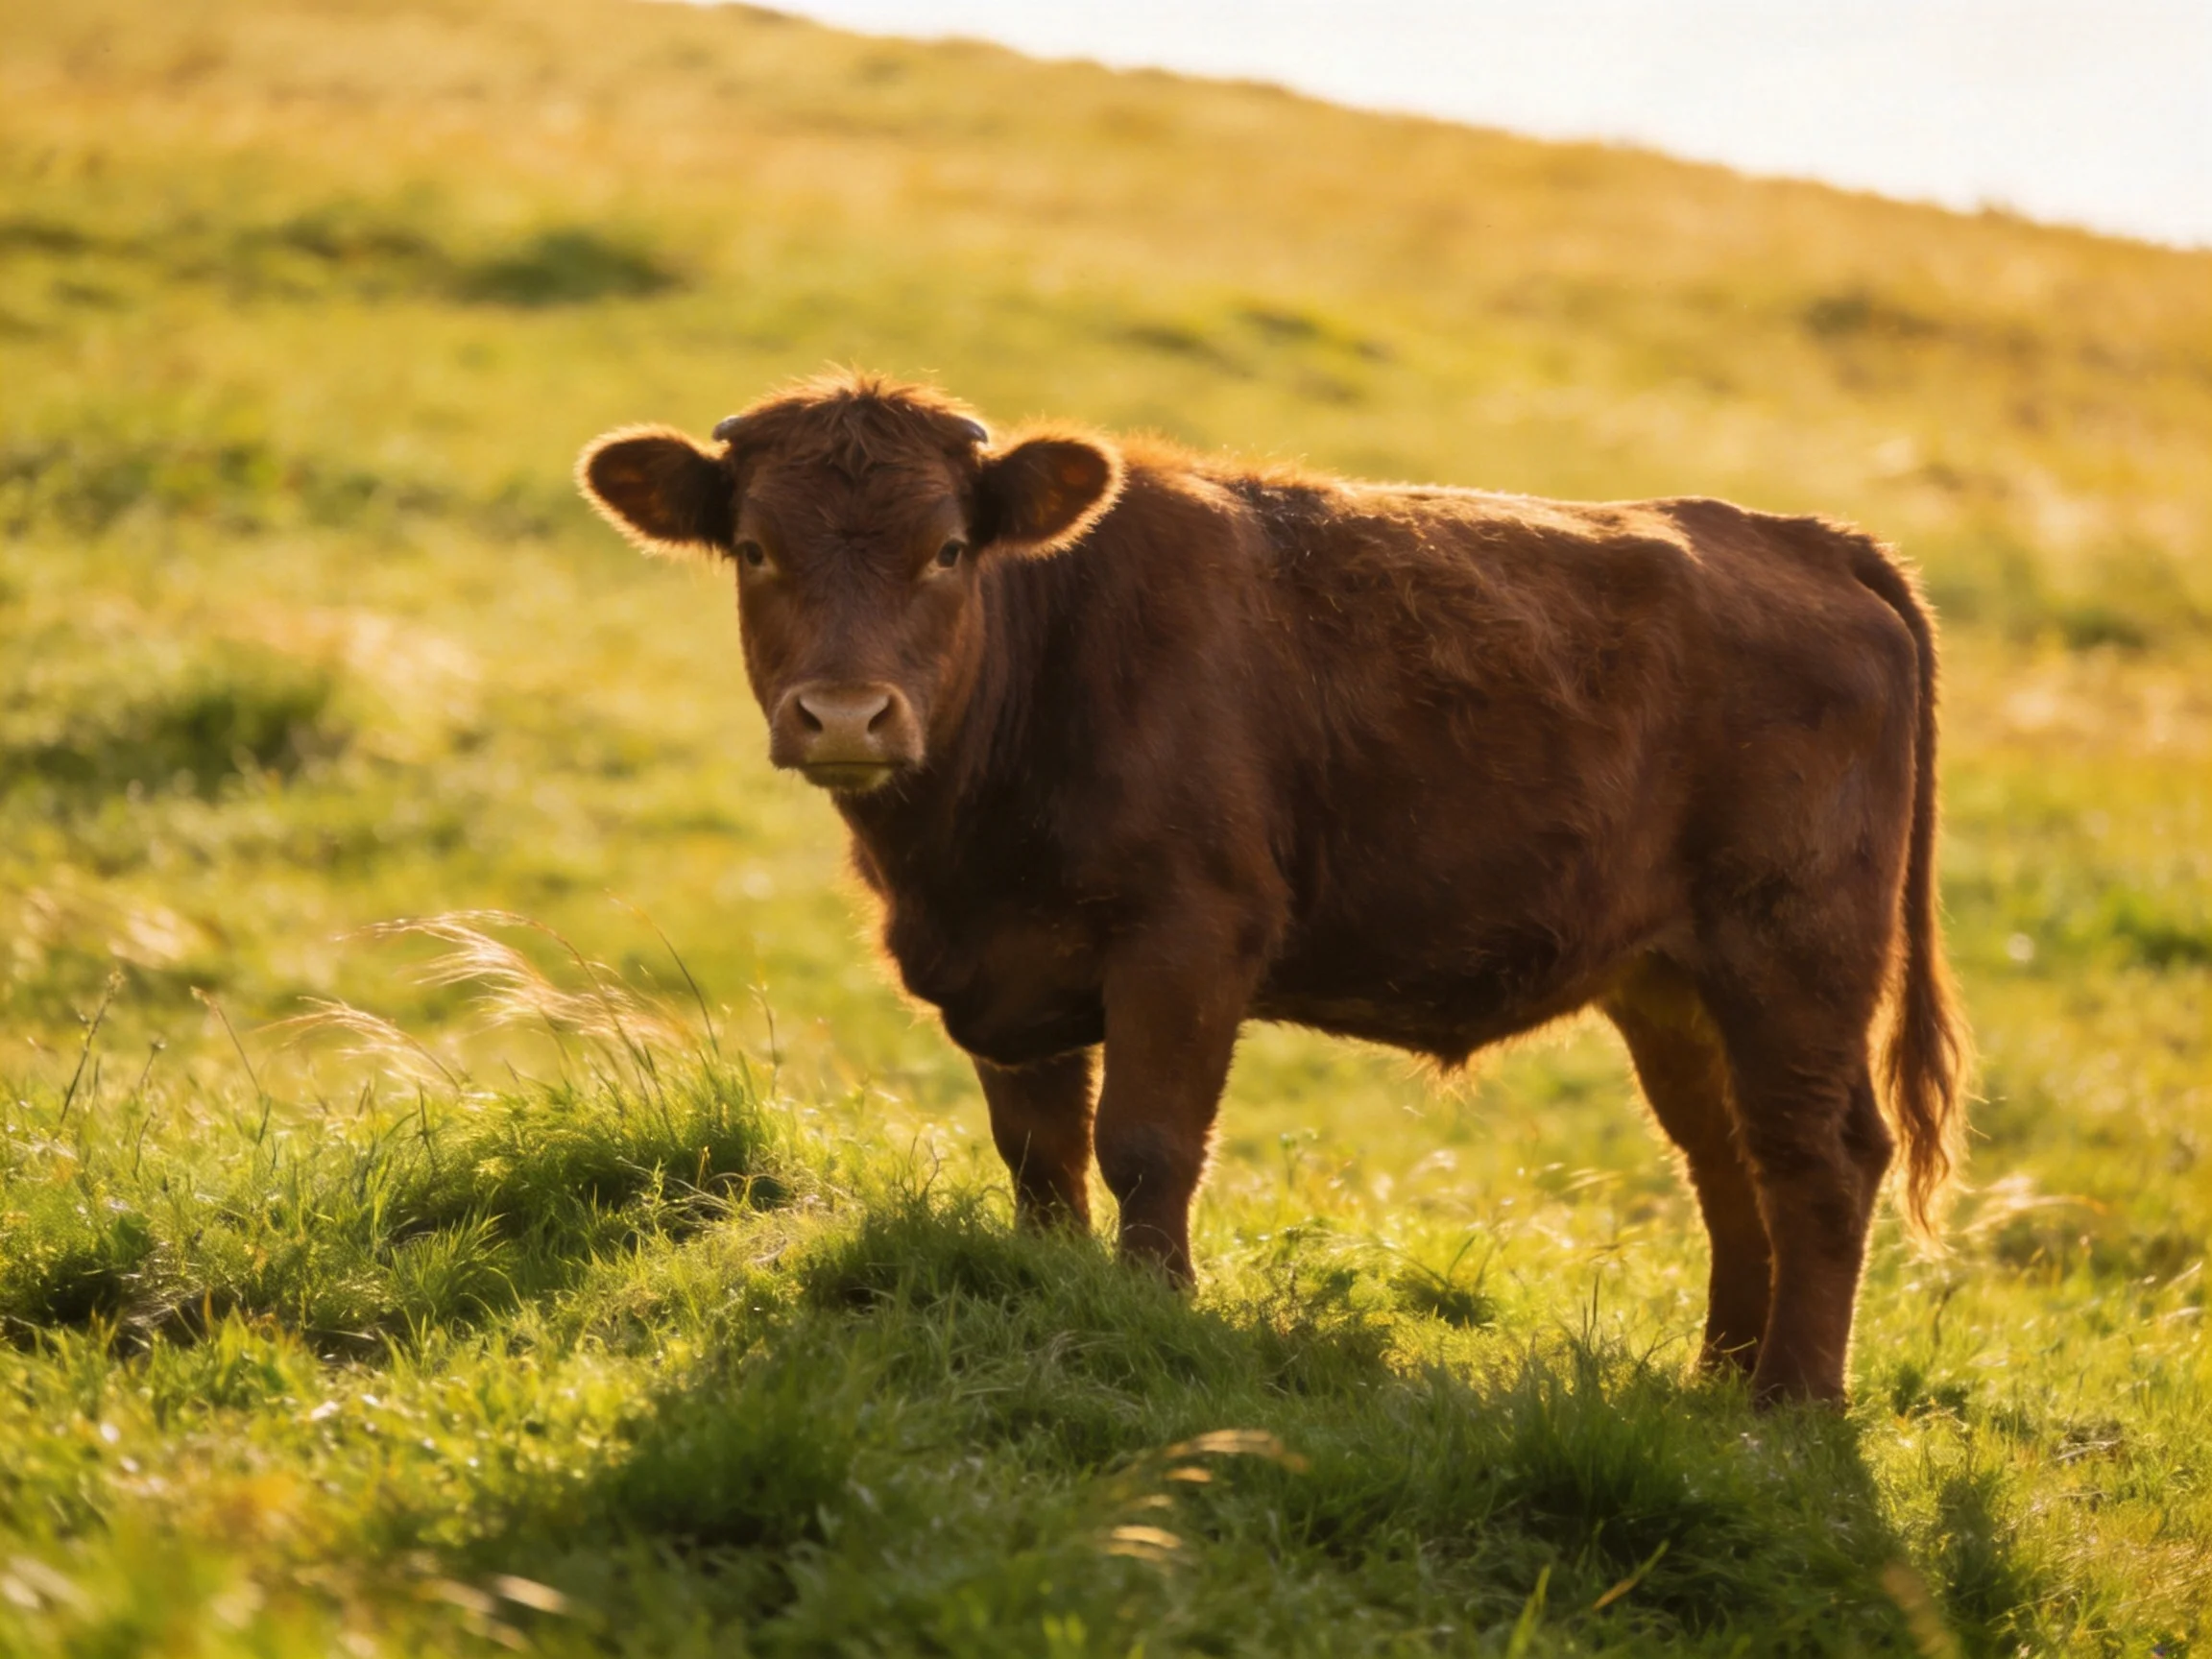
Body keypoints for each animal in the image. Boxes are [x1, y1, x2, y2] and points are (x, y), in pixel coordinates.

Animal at [577, 371, 1968, 1405]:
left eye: (951, 549)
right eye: (755, 548)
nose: (847, 713)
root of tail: (1803, 540)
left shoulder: (1188, 937)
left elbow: (1144, 1145)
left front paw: (1152, 1310)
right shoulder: (1006, 967)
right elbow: (1038, 1151)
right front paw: (1047, 1286)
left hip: (1793, 953)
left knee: (1820, 1155)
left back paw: (1791, 1409)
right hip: (1673, 983)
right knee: (1728, 1161)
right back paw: (1717, 1383)